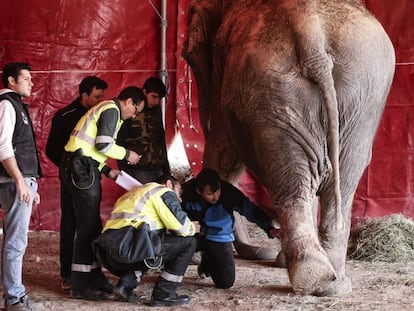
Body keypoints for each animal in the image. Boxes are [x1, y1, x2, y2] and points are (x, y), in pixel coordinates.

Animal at [183, 0, 396, 298]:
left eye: (189, 59)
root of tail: (310, 32)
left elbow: (223, 156)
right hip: (352, 95)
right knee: (337, 183)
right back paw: (331, 283)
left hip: (284, 90)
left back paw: (315, 276)